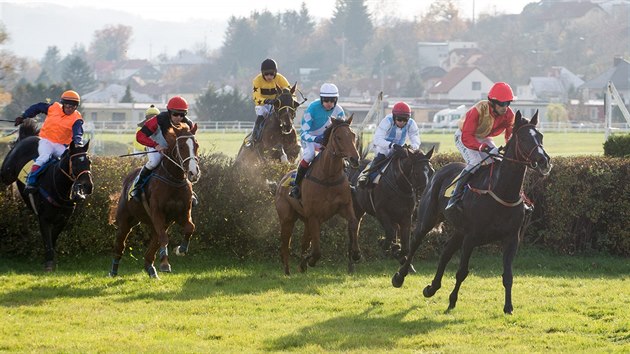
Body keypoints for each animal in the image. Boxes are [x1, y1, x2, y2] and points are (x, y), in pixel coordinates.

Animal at [0, 119, 94, 272]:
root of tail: (27, 136)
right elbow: (47, 239)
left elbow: (53, 238)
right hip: (7, 173)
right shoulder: (44, 219)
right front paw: (49, 263)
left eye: (89, 162)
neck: (58, 188)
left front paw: (49, 259)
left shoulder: (63, 219)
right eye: (74, 163)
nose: (88, 186)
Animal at [110, 123, 200, 278]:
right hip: (125, 221)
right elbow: (164, 238)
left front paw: (180, 249)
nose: (194, 173)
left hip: (160, 223)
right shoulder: (157, 212)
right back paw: (113, 270)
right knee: (120, 245)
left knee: (155, 240)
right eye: (182, 146)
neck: (173, 179)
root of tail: (127, 179)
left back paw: (150, 268)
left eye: (196, 145)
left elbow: (190, 228)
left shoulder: (181, 214)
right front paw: (165, 263)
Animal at [276, 116, 360, 274]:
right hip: (287, 219)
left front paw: (356, 253)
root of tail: (282, 179)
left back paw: (301, 265)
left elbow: (353, 223)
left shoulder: (344, 207)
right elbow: (316, 251)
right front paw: (310, 260)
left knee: (303, 243)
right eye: (338, 137)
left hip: (306, 219)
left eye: (353, 135)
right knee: (285, 245)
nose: (355, 159)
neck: (328, 177)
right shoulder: (314, 216)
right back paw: (287, 271)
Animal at [392, 109, 552, 314]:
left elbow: (508, 275)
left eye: (540, 136)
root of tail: (438, 172)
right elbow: (462, 272)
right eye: (524, 138)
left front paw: (508, 307)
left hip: (459, 231)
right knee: (414, 244)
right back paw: (399, 277)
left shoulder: (511, 238)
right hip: (428, 220)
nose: (544, 161)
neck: (502, 191)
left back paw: (431, 288)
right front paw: (452, 301)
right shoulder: (471, 236)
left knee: (445, 253)